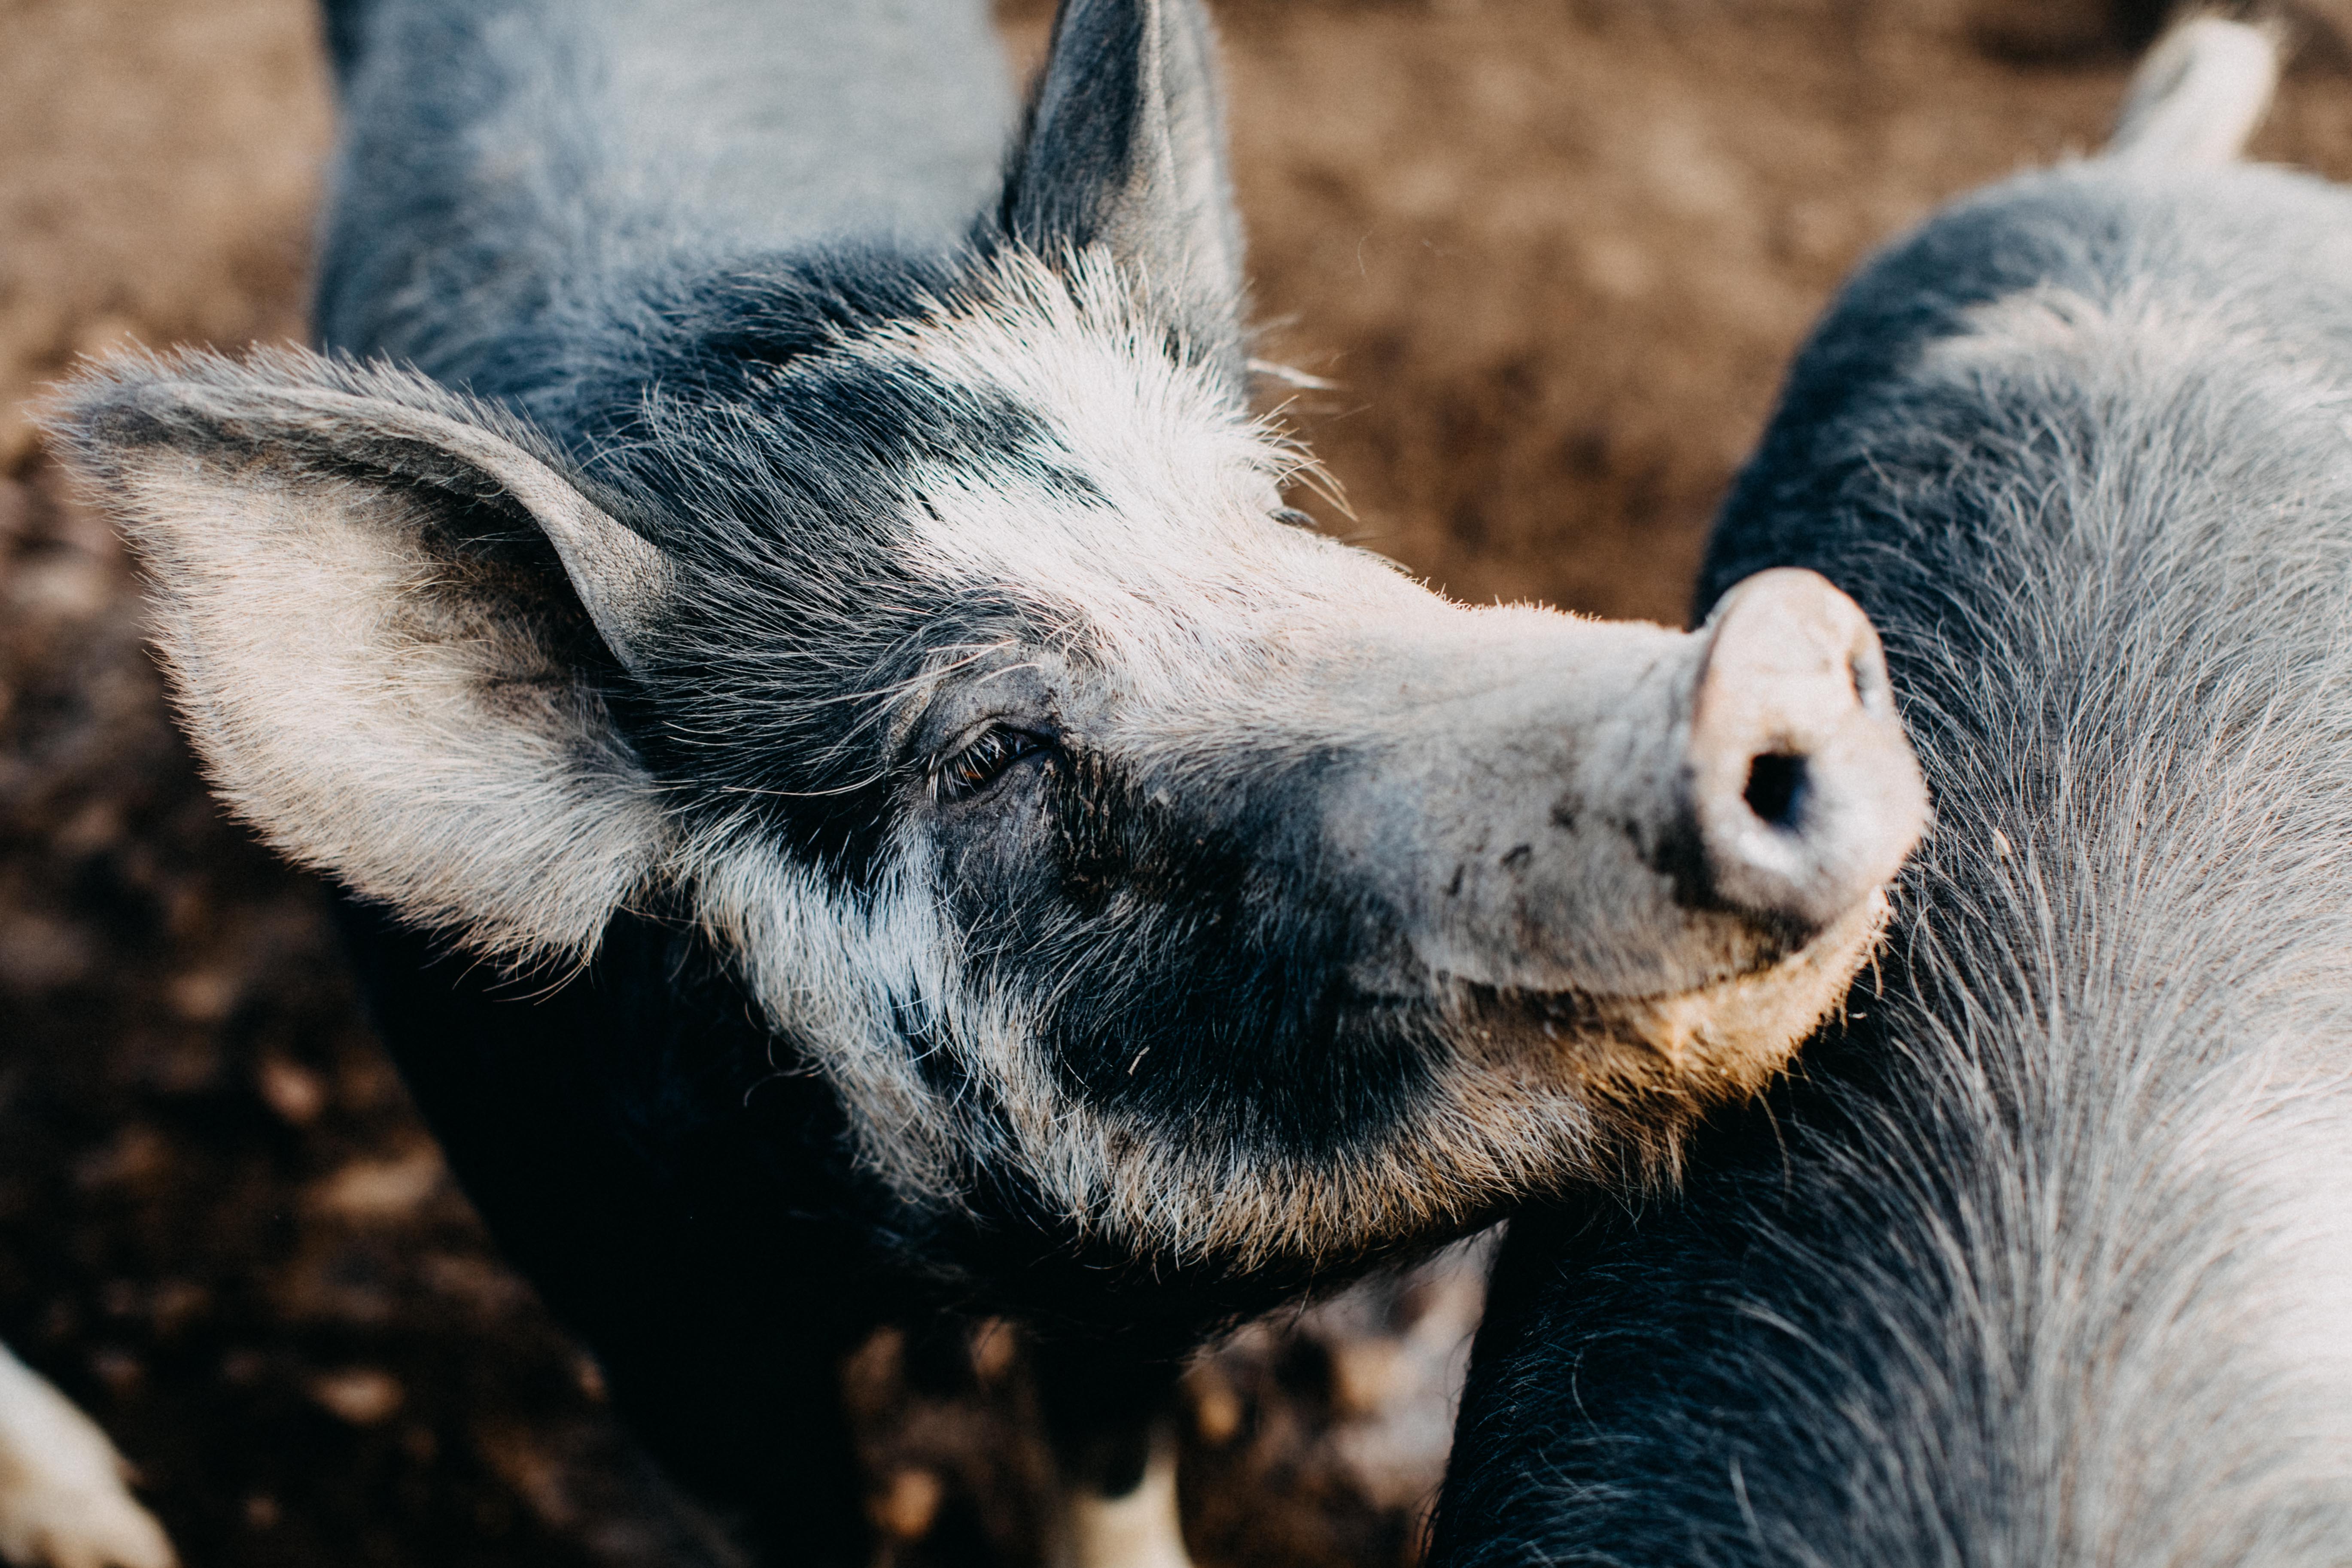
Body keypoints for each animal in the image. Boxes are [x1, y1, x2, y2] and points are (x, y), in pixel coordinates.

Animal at [33, 1, 1924, 1564]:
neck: (884, 1265)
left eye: (1273, 532)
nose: (1769, 636)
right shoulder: (640, 1316)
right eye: (983, 751)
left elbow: (1107, 1461)